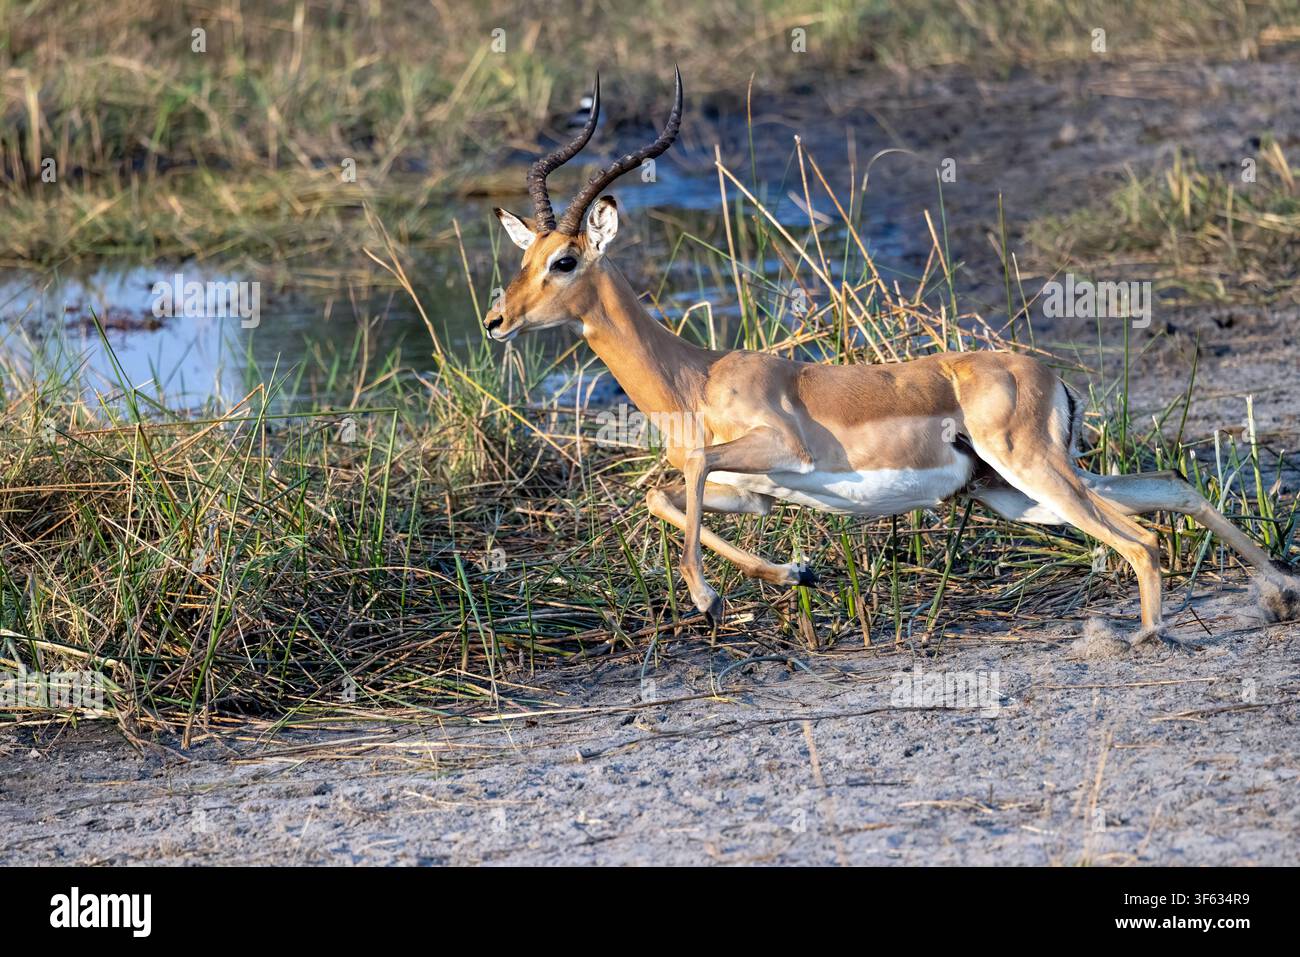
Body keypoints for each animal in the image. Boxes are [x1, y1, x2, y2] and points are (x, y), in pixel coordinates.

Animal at [485, 70, 1300, 652]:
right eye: (523, 256)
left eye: (564, 260)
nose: (496, 321)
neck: (695, 377)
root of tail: (1048, 375)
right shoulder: (752, 493)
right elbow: (664, 492)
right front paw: (794, 570)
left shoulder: (778, 449)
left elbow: (683, 470)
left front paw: (709, 598)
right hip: (1015, 493)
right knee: (1170, 491)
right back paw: (1277, 593)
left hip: (1037, 473)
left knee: (1141, 536)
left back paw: (1149, 633)